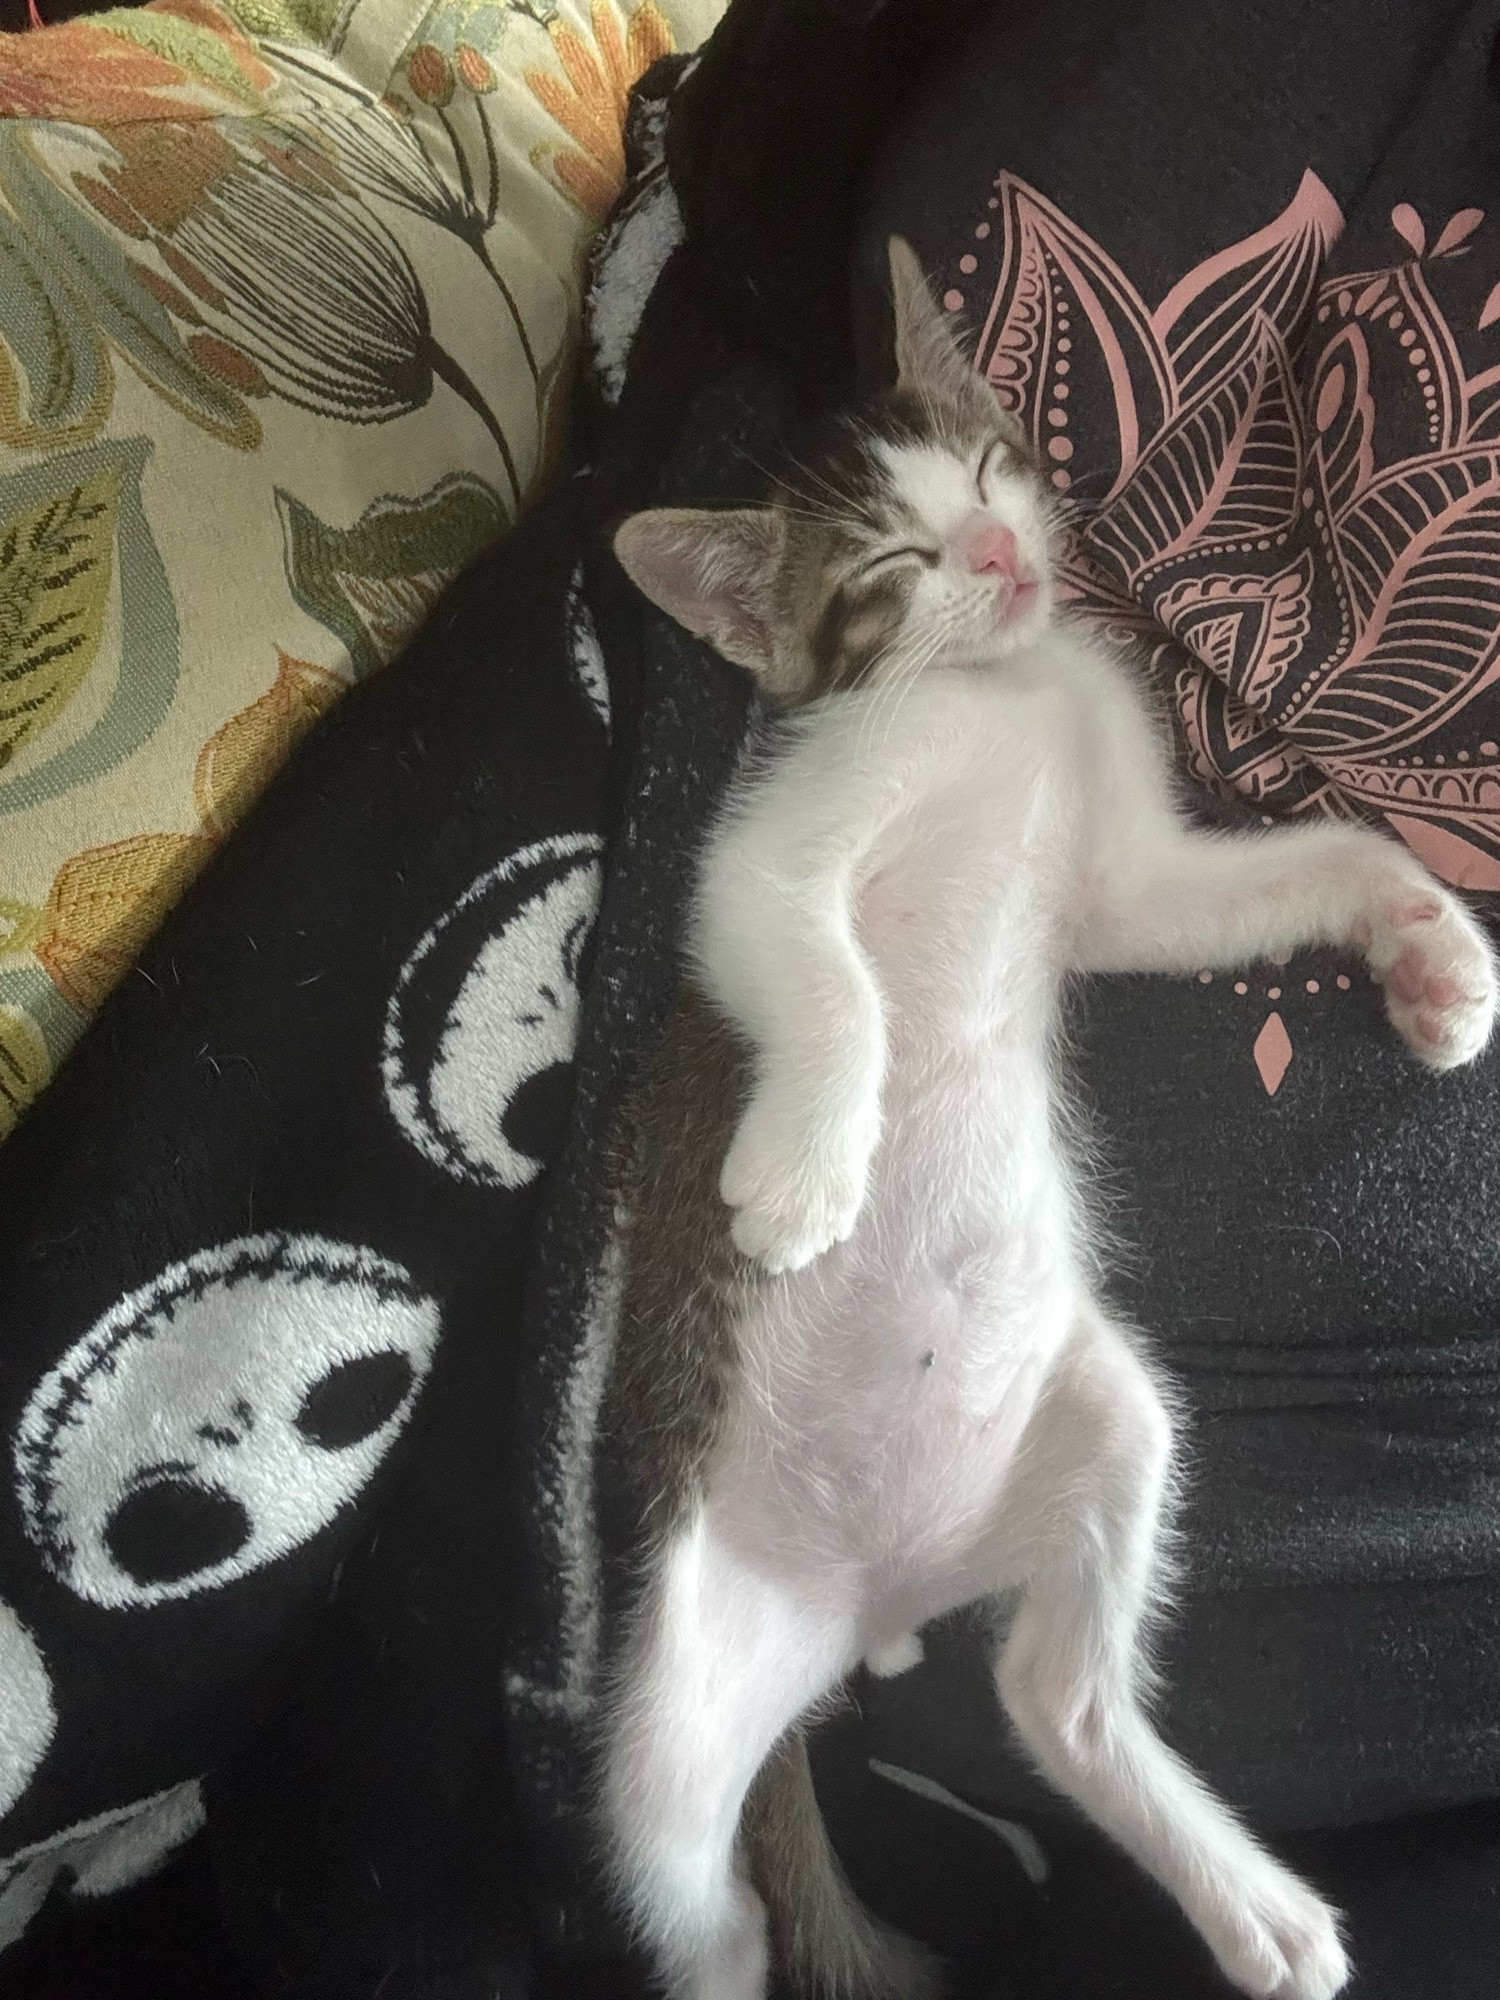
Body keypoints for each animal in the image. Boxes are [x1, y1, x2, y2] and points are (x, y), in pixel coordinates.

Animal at [596, 238, 1496, 2000]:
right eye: (892, 556)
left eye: (990, 468)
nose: (1007, 551)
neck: (1000, 687)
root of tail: (875, 1599)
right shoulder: (758, 866)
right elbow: (824, 980)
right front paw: (804, 1175)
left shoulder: (1123, 886)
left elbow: (1307, 857)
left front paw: (1435, 957)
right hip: (657, 1743)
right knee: (704, 1911)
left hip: (1118, 1420)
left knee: (1046, 1700)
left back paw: (1252, 1908)